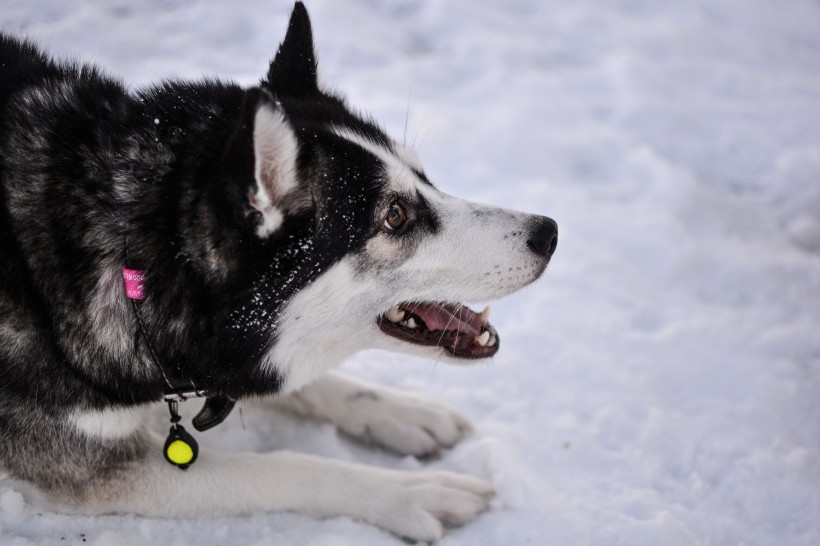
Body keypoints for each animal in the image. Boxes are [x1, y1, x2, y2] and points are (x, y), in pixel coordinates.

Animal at [0, 2, 556, 540]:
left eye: (425, 177)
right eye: (395, 215)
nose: (548, 233)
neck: (129, 267)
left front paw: (402, 411)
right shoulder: (96, 468)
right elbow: (286, 467)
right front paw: (414, 491)